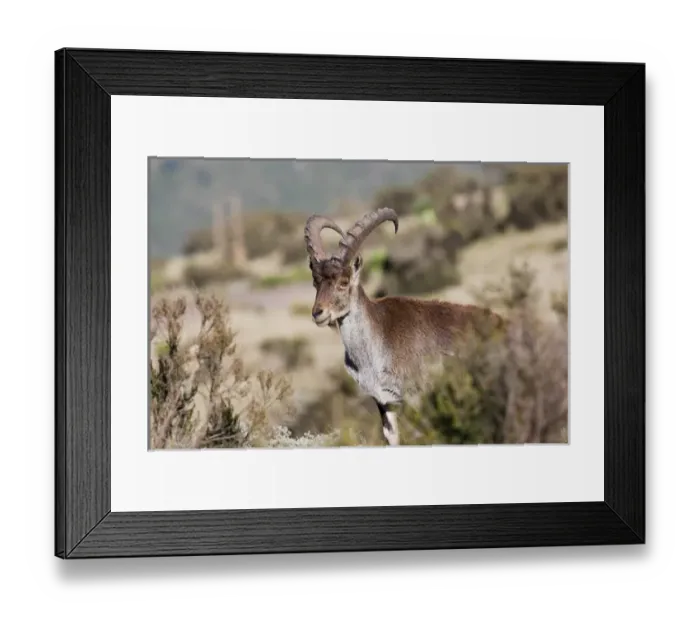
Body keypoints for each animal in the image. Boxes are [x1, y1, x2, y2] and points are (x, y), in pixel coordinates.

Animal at [304, 207, 504, 447]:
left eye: (343, 282)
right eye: (316, 282)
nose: (318, 313)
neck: (374, 349)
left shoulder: (415, 396)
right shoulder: (384, 402)